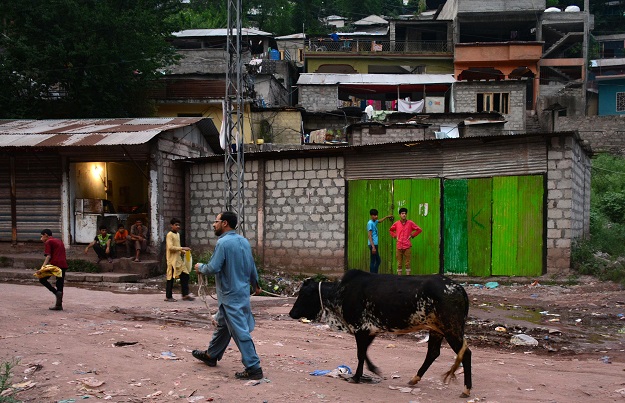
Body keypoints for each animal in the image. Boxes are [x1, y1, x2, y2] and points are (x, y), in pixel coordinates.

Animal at [290, 270, 470, 400]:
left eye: (304, 294)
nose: (292, 313)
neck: (340, 293)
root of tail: (459, 288)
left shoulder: (360, 329)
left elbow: (360, 354)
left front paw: (356, 377)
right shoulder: (370, 330)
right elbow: (365, 353)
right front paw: (374, 370)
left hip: (450, 329)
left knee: (465, 353)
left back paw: (466, 390)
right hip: (436, 330)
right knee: (433, 353)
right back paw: (414, 378)